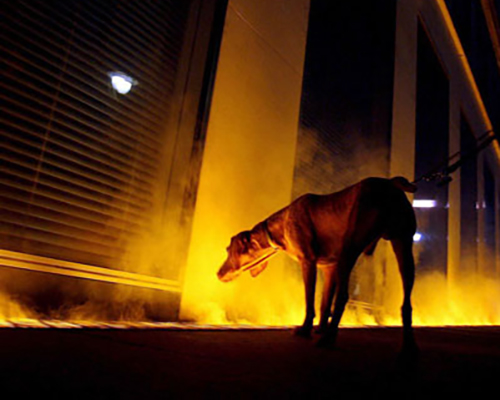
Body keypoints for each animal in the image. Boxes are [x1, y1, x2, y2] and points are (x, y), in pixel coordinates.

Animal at [219, 178, 418, 350]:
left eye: (228, 249)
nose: (218, 273)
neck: (280, 225)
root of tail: (389, 184)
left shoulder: (308, 262)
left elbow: (310, 300)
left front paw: (306, 329)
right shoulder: (329, 268)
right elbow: (324, 302)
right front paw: (321, 327)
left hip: (350, 249)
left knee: (343, 296)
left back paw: (329, 339)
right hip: (403, 245)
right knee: (407, 303)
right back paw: (408, 346)